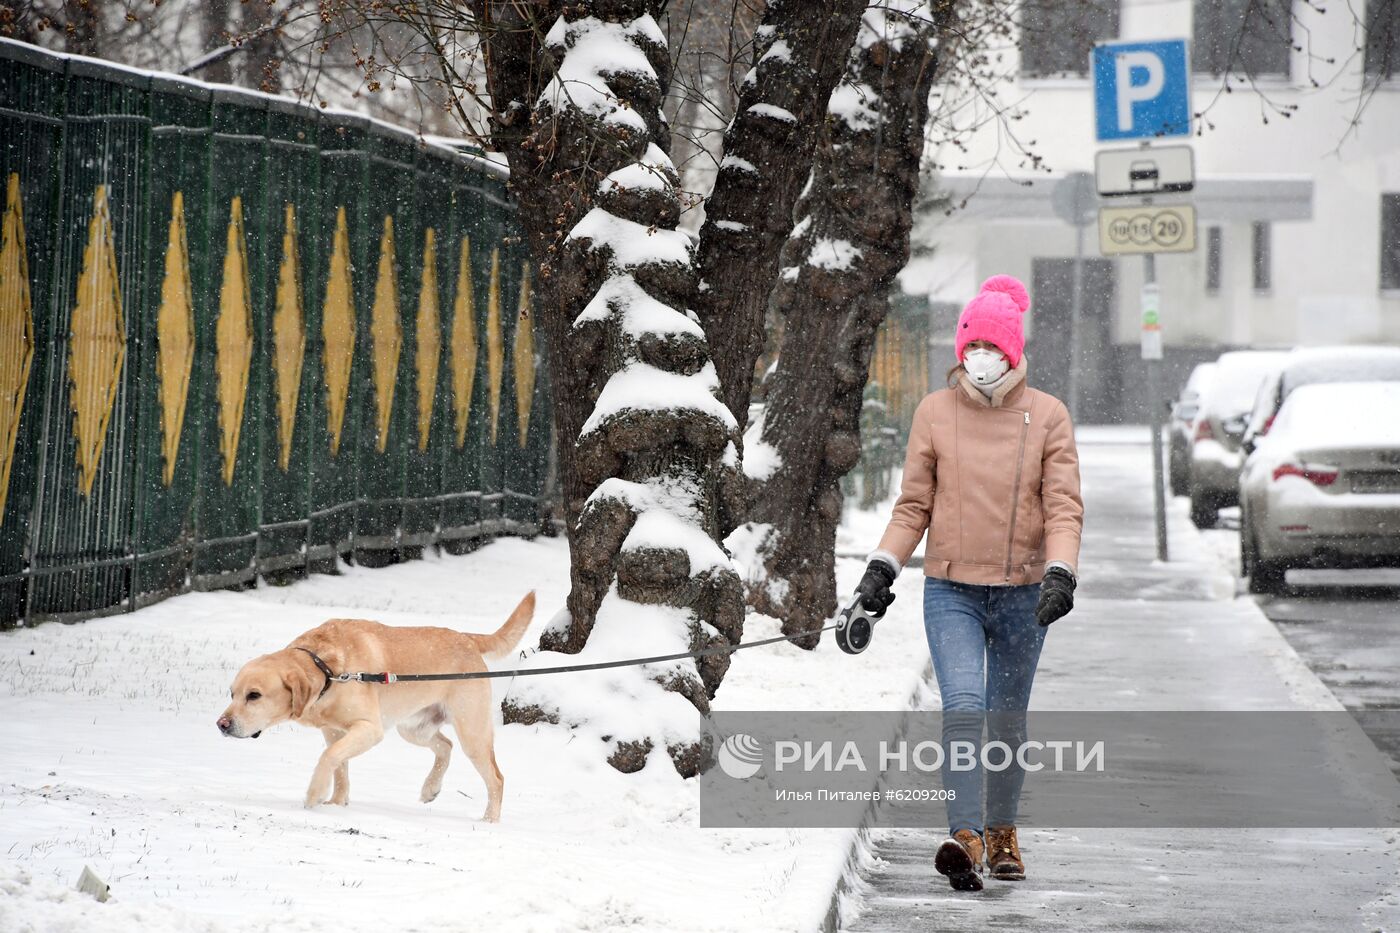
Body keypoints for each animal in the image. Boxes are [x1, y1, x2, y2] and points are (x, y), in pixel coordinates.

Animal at [218, 591, 534, 818]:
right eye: (232, 694)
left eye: (254, 695)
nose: (221, 725)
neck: (326, 670)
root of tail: (467, 638)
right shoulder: (334, 732)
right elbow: (339, 767)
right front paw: (337, 802)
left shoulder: (369, 729)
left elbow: (328, 757)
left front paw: (315, 795)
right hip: (413, 728)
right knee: (445, 746)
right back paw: (430, 789)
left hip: (472, 732)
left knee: (496, 778)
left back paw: (489, 820)